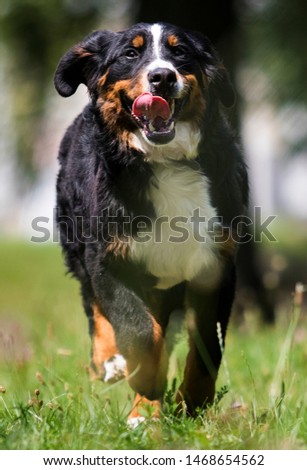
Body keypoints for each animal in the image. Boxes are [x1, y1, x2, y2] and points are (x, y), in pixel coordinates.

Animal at [54, 22, 249, 426]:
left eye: (180, 52)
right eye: (131, 53)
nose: (162, 77)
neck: (166, 162)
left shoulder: (217, 266)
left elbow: (207, 345)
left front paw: (192, 403)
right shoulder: (108, 259)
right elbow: (139, 332)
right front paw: (145, 390)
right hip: (78, 246)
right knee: (95, 307)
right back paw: (111, 365)